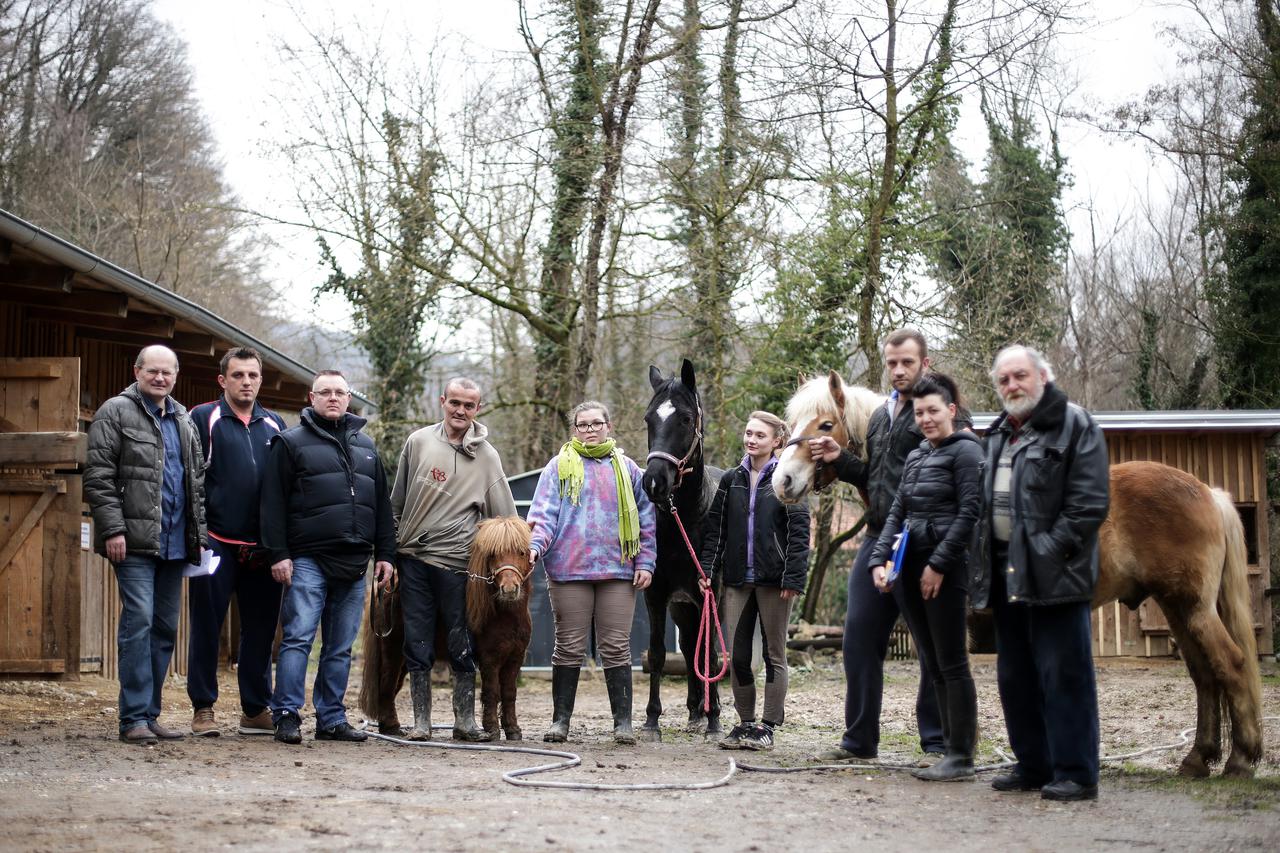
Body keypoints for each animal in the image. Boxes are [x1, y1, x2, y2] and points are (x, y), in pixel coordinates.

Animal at [358, 512, 532, 737]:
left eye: (522, 552)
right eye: (493, 554)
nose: (509, 589)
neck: (506, 615)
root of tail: (386, 585)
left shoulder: (515, 658)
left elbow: (510, 693)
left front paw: (513, 729)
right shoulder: (490, 659)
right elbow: (492, 692)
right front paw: (492, 728)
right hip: (392, 651)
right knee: (386, 686)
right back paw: (393, 727)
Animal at [773, 371, 1264, 778]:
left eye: (824, 426)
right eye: (792, 423)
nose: (783, 482)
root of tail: (1208, 491)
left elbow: (951, 675)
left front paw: (957, 751)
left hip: (1192, 607)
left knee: (1232, 665)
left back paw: (1240, 760)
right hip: (1177, 607)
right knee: (1204, 676)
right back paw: (1198, 759)